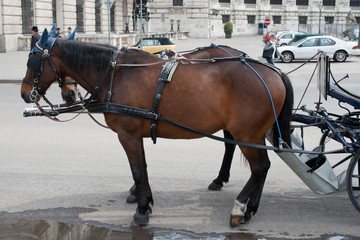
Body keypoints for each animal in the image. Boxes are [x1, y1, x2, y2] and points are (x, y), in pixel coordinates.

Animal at [21, 30, 294, 227]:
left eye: (32, 59)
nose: (24, 93)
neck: (117, 74)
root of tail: (273, 71)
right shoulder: (135, 136)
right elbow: (142, 168)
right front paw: (144, 200)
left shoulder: (128, 135)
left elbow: (137, 171)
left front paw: (142, 209)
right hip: (251, 134)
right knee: (262, 166)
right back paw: (249, 206)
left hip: (247, 133)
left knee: (259, 168)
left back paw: (240, 208)